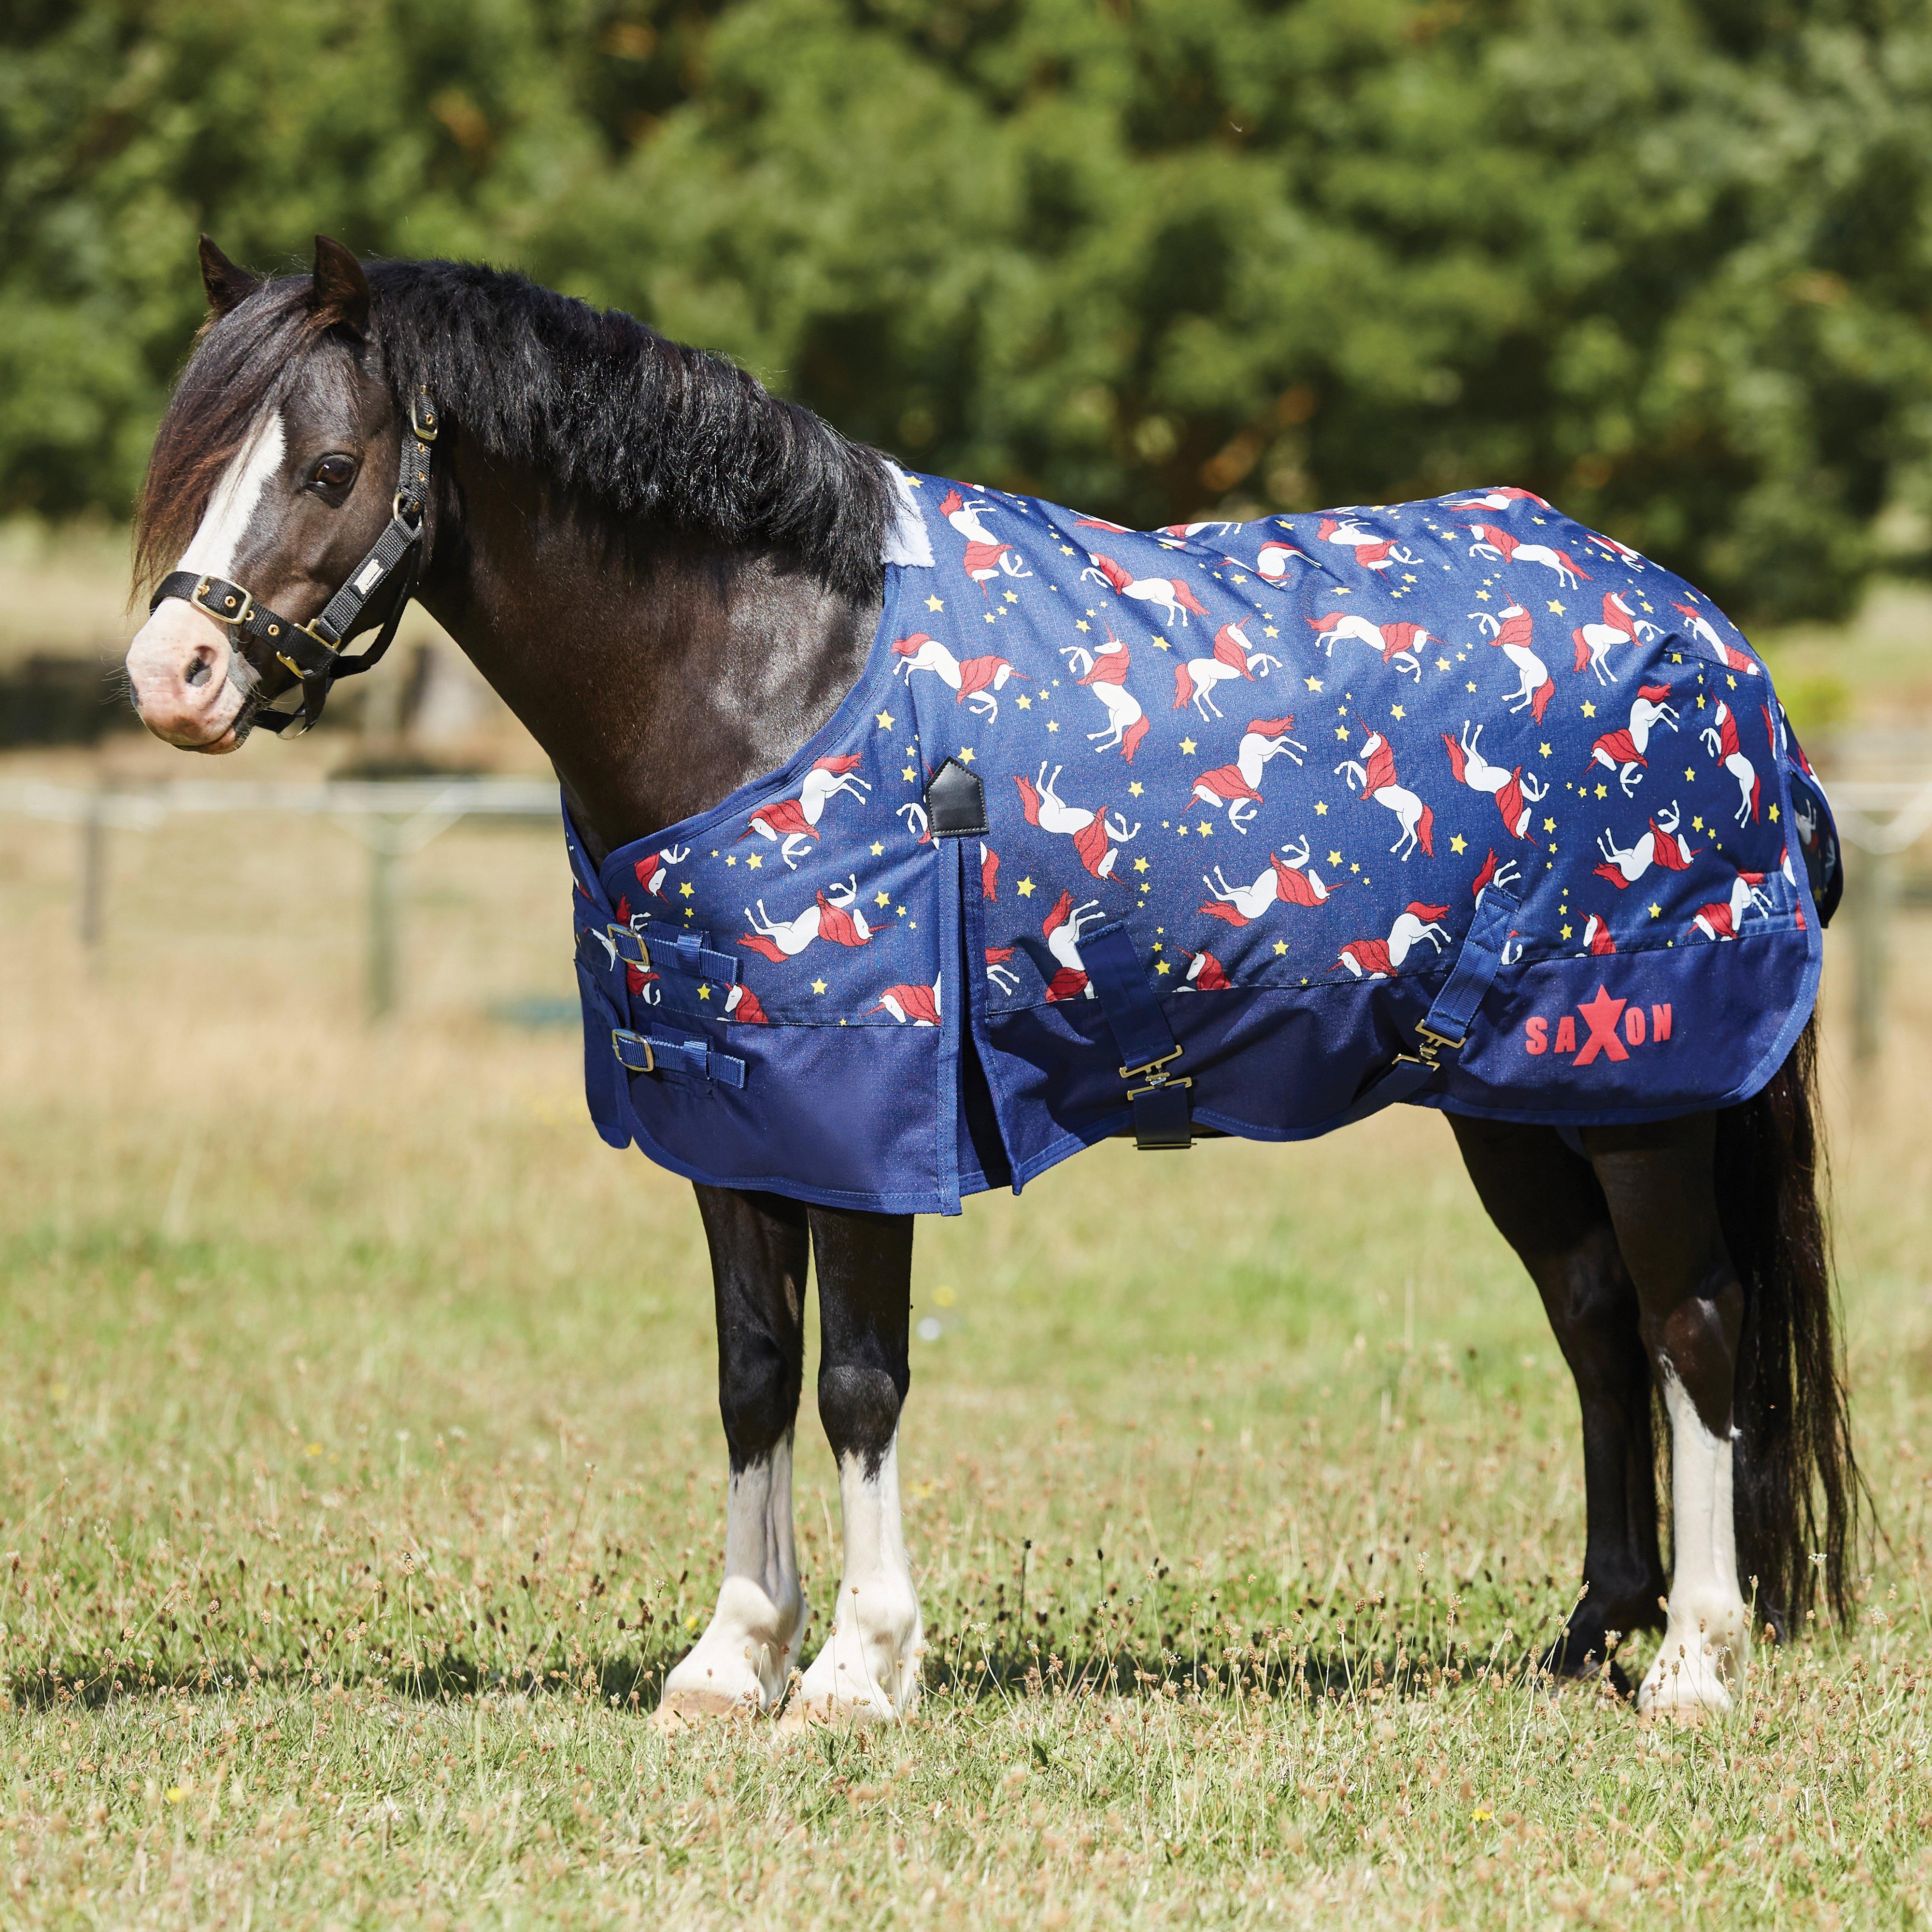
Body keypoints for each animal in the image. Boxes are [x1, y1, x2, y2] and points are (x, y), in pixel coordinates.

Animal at [123, 237, 1858, 1728]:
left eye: (328, 470)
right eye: (190, 465)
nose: (172, 679)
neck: (770, 676)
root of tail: (1709, 639)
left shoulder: (867, 1104)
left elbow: (859, 1382)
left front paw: (855, 1670)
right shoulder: (730, 1106)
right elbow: (754, 1375)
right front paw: (731, 1659)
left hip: (1643, 1085)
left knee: (1695, 1325)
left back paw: (1693, 1662)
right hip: (1515, 1096)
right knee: (1597, 1324)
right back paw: (1591, 1635)